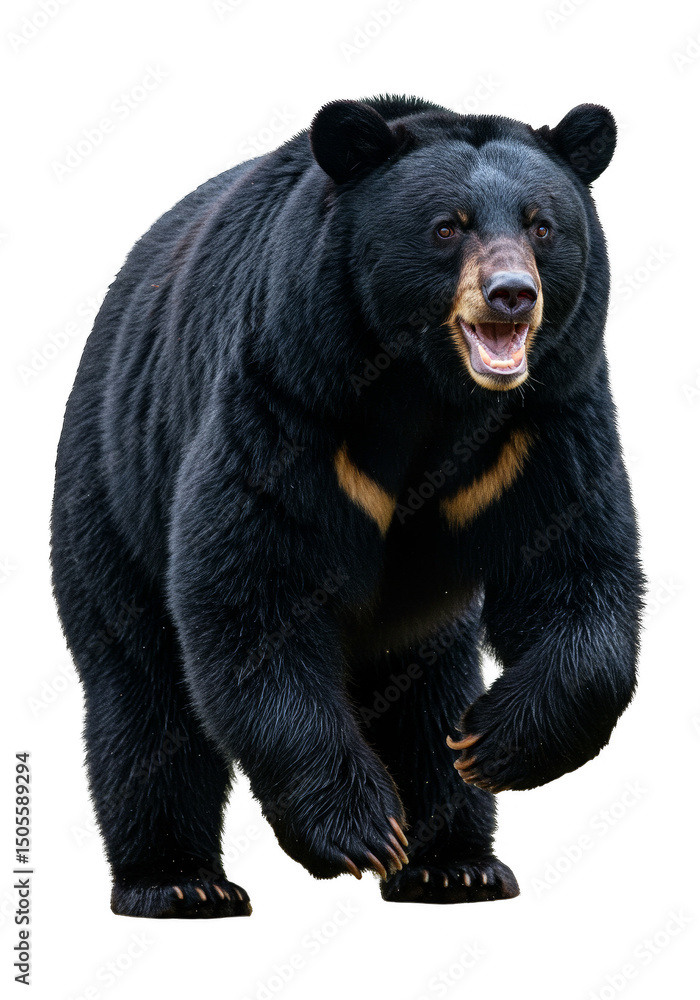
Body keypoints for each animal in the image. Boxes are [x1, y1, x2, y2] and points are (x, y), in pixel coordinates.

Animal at [51, 94, 643, 916]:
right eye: (447, 225)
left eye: (542, 225)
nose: (512, 296)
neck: (428, 389)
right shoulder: (290, 396)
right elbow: (252, 589)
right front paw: (359, 830)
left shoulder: (543, 420)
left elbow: (574, 568)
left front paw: (490, 744)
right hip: (115, 490)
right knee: (142, 692)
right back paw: (178, 880)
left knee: (426, 691)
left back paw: (455, 863)